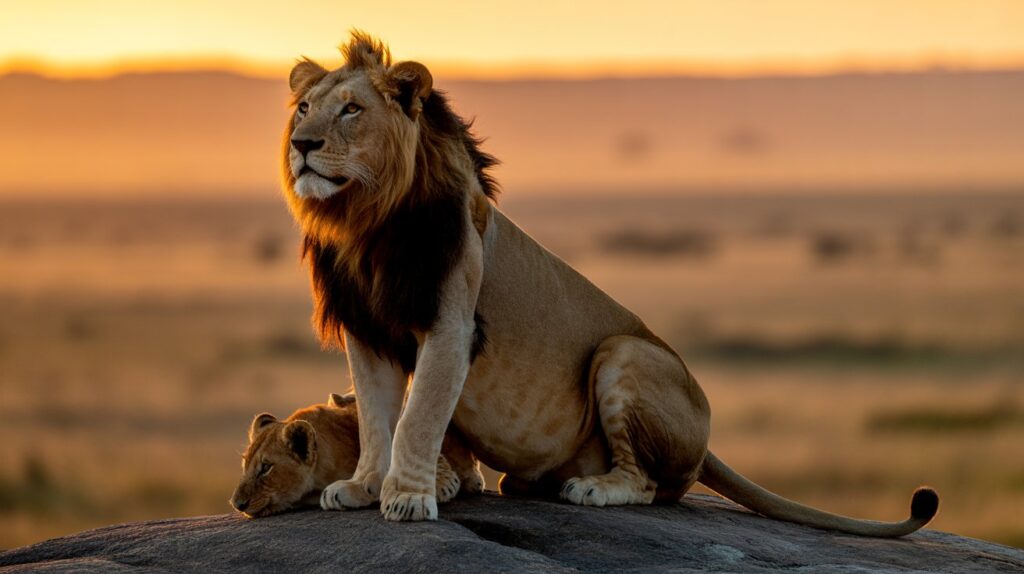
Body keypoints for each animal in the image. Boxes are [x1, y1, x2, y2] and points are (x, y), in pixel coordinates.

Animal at [279, 31, 939, 535]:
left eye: (352, 110)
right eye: (305, 109)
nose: (301, 145)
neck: (363, 222)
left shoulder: (451, 322)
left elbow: (417, 416)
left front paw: (409, 497)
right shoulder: (365, 329)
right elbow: (376, 415)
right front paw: (364, 486)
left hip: (624, 353)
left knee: (652, 485)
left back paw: (591, 488)